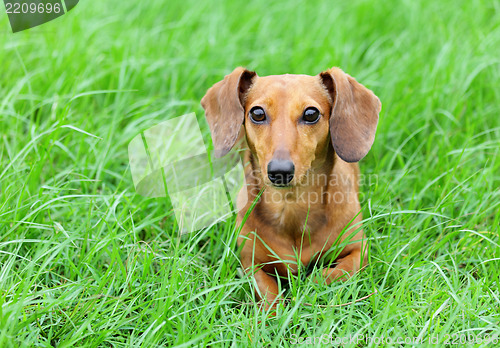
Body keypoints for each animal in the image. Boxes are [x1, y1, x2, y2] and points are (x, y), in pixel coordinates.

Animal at [201, 66, 380, 312]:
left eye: (311, 114)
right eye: (257, 113)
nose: (280, 171)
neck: (291, 205)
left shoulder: (359, 250)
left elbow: (332, 273)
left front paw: (310, 287)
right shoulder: (250, 262)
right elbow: (268, 291)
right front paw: (274, 312)